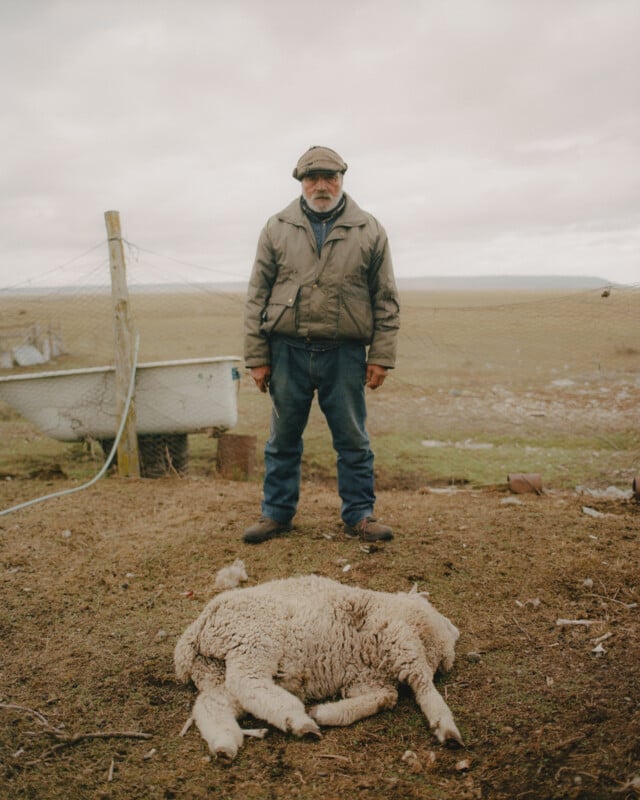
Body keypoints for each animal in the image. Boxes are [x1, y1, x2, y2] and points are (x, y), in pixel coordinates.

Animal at [175, 576, 462, 756]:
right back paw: (298, 721)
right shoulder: (402, 642)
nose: (456, 629)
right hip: (254, 639)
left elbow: (385, 698)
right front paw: (447, 729)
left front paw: (327, 712)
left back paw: (224, 745)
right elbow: (426, 689)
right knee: (248, 683)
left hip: (214, 668)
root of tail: (194, 633)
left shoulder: (368, 679)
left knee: (211, 705)